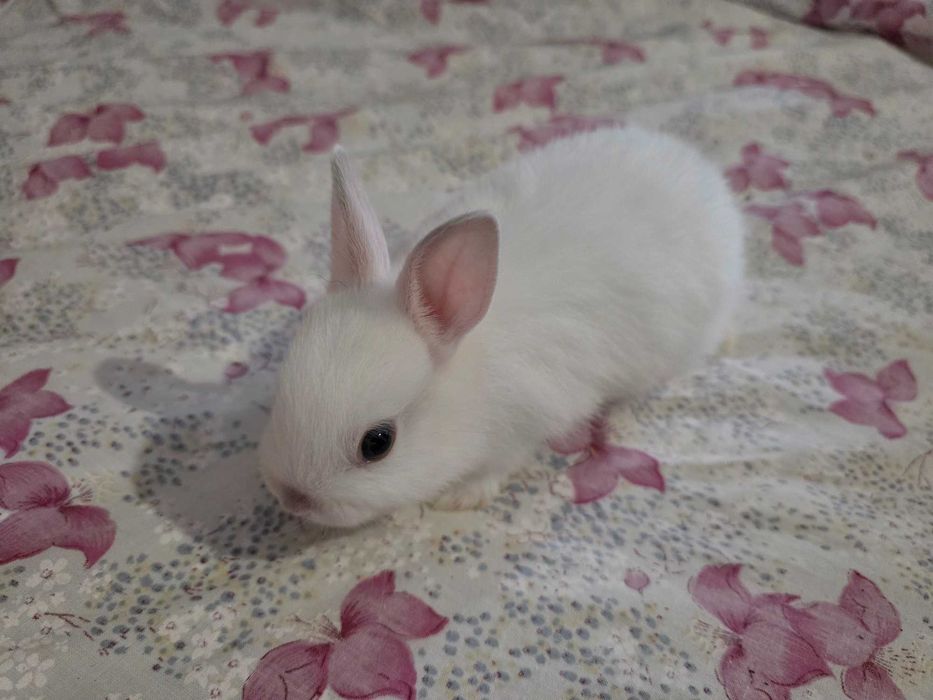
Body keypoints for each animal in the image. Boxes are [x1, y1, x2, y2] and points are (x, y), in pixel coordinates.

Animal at [259, 126, 744, 527]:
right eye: (279, 395)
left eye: (377, 444)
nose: (292, 498)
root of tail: (704, 174)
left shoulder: (525, 424)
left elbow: (498, 465)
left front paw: (462, 495)